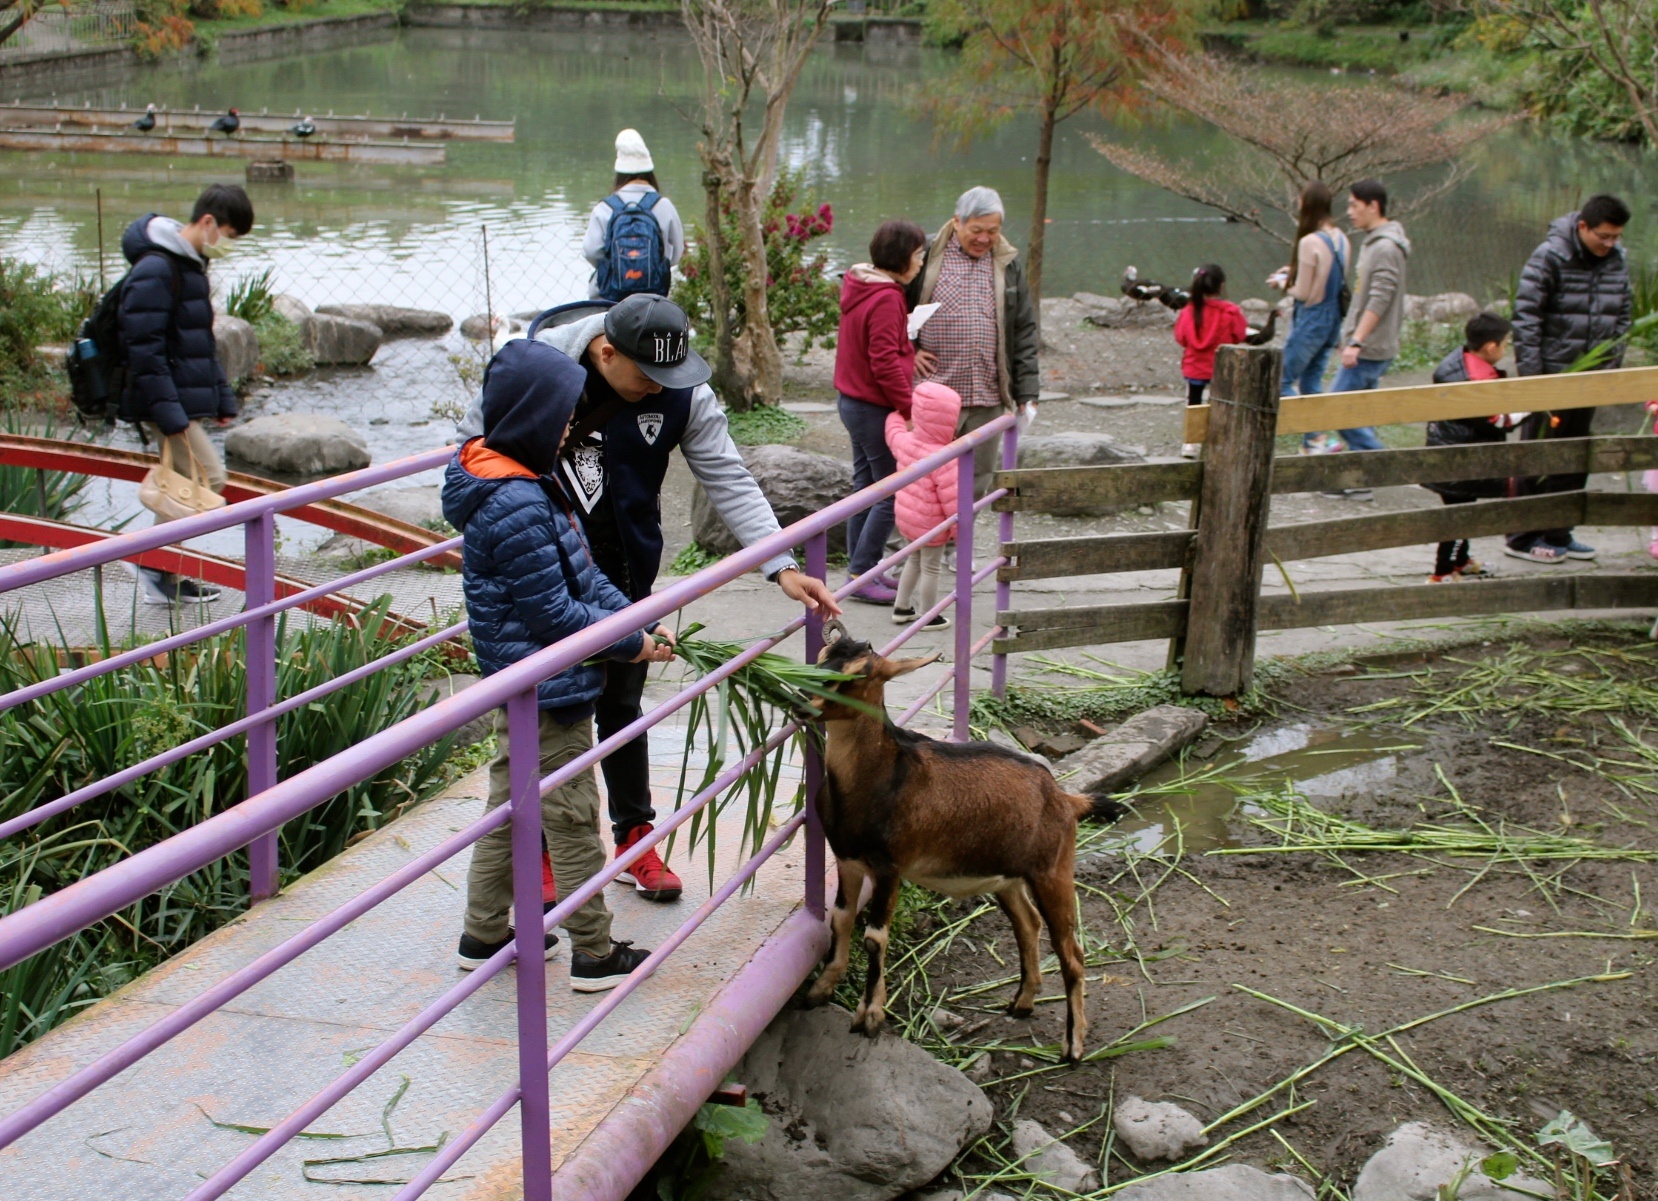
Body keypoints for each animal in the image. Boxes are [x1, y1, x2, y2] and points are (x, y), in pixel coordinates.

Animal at [805, 623, 1094, 1061]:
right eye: (822, 656)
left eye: (859, 673)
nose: (804, 700)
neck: (880, 776)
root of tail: (1066, 799)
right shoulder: (847, 860)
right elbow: (840, 920)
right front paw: (821, 989)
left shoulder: (890, 867)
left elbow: (874, 938)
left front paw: (869, 1016)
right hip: (1009, 877)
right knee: (1028, 923)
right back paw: (1022, 1003)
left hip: (1053, 870)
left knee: (1071, 951)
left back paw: (1073, 1046)